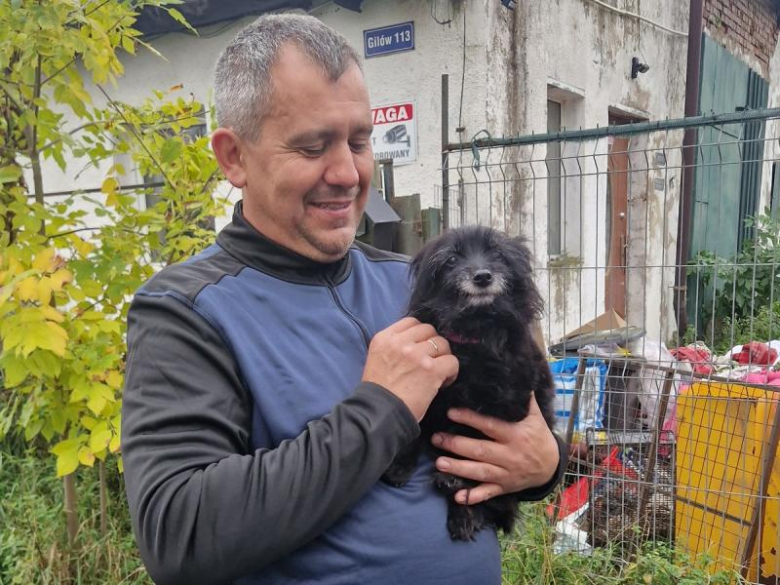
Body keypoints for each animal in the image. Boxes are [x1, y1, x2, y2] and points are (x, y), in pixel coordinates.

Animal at [382, 224, 556, 540]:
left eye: (497, 254)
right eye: (451, 260)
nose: (482, 276)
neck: (475, 334)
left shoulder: (505, 405)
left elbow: (468, 435)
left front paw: (454, 481)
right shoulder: (429, 387)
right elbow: (413, 420)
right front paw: (399, 465)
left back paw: (459, 504)